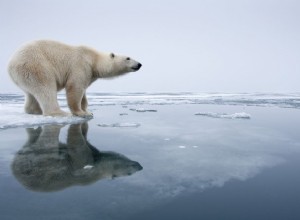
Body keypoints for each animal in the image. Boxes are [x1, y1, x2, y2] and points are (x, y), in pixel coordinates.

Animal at [8, 40, 142, 117]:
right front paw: (80, 113)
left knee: (31, 93)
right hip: (36, 65)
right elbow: (75, 87)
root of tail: (10, 64)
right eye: (128, 58)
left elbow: (83, 92)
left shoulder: (89, 73)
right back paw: (60, 113)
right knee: (46, 87)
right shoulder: (80, 65)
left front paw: (88, 111)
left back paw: (35, 111)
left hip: (24, 75)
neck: (93, 59)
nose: (139, 64)